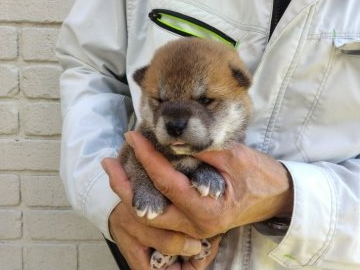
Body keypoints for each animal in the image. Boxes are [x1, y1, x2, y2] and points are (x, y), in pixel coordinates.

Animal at [119, 37, 252, 268]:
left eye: (205, 100)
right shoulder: (132, 148)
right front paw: (149, 197)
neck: (184, 157)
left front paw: (209, 177)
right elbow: (140, 166)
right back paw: (163, 257)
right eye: (160, 100)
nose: (175, 126)